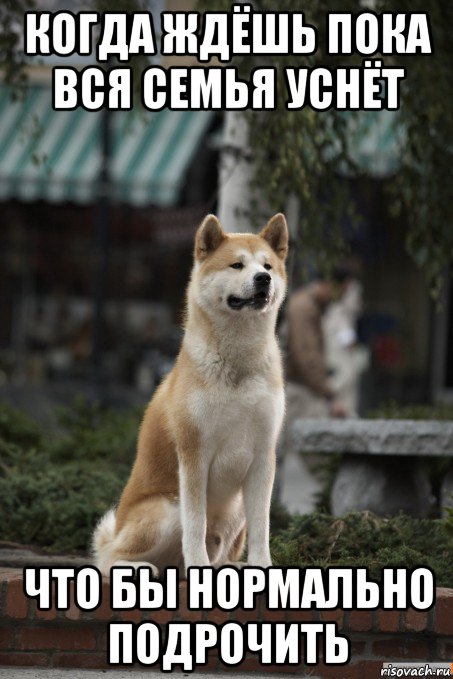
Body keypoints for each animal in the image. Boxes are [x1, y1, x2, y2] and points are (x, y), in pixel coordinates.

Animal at [93, 214, 288, 580]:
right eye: (237, 264)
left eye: (267, 265)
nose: (263, 278)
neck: (238, 364)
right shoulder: (194, 454)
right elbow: (195, 525)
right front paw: (199, 564)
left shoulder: (263, 456)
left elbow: (263, 527)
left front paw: (263, 568)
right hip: (167, 508)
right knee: (111, 558)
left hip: (235, 512)